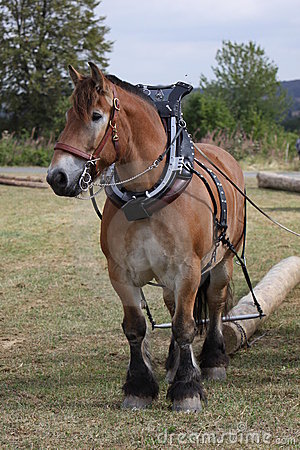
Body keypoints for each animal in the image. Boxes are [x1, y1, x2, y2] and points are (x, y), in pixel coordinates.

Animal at [46, 62, 244, 412]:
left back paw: (212, 361)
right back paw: (175, 364)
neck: (145, 194)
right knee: (173, 306)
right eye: (69, 115)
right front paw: (139, 387)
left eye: (96, 116)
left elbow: (184, 326)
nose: (57, 176)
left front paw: (187, 390)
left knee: (215, 303)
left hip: (223, 261)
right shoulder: (121, 273)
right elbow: (136, 327)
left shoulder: (189, 269)